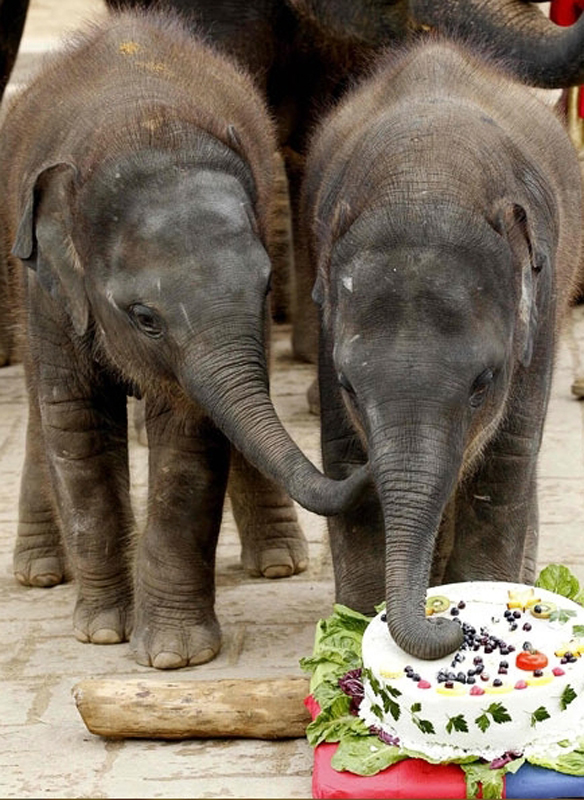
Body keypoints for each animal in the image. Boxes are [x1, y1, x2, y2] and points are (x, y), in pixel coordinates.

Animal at [0, 9, 366, 669]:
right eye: (145, 317)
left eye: (265, 283)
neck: (140, 126)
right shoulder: (48, 287)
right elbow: (77, 423)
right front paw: (103, 632)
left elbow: (191, 435)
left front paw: (173, 655)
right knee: (47, 416)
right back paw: (40, 573)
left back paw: (278, 565)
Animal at [301, 37, 583, 660]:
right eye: (348, 385)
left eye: (483, 384)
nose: (451, 627)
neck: (425, 179)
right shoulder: (325, 319)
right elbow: (344, 460)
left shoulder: (542, 312)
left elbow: (504, 467)